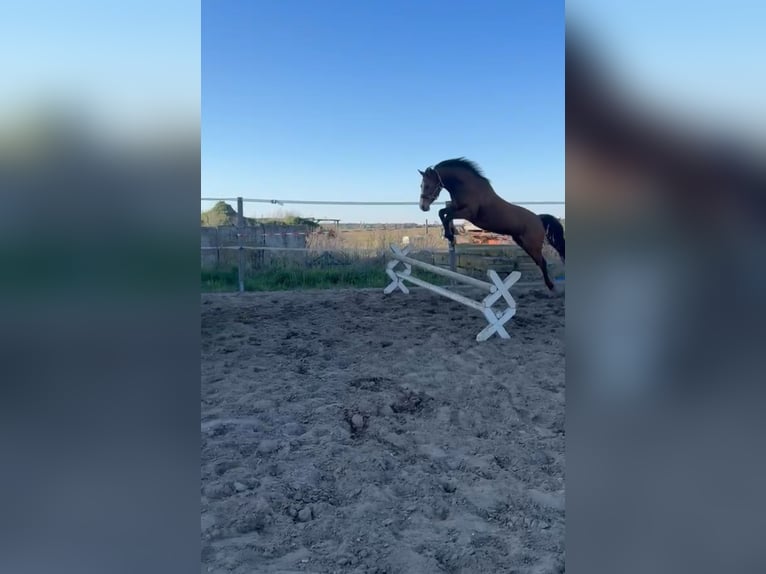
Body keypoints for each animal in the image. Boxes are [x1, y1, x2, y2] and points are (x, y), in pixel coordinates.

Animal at [418, 158, 565, 290]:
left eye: (427, 185)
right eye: (421, 185)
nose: (423, 207)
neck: (467, 187)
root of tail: (538, 219)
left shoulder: (468, 213)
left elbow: (447, 215)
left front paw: (449, 234)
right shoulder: (455, 208)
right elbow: (442, 212)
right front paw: (450, 234)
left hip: (532, 245)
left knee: (542, 262)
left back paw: (551, 286)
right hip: (523, 243)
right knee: (540, 262)